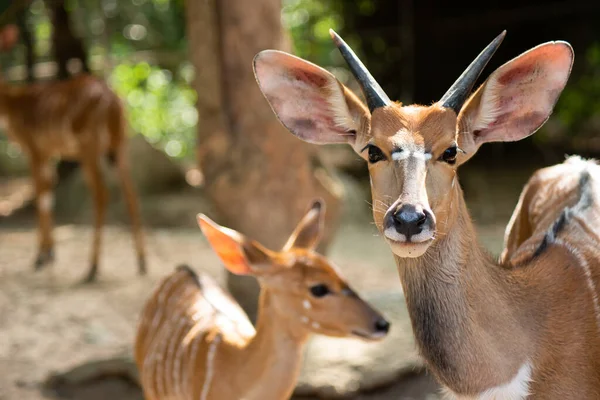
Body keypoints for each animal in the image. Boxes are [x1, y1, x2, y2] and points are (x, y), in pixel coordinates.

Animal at [0, 74, 145, 282]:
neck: (12, 104)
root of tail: (111, 100)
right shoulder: (49, 153)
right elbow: (48, 194)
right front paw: (50, 254)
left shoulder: (35, 151)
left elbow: (41, 196)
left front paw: (40, 257)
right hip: (119, 148)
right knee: (131, 193)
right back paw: (141, 262)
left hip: (88, 149)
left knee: (101, 194)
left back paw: (92, 268)